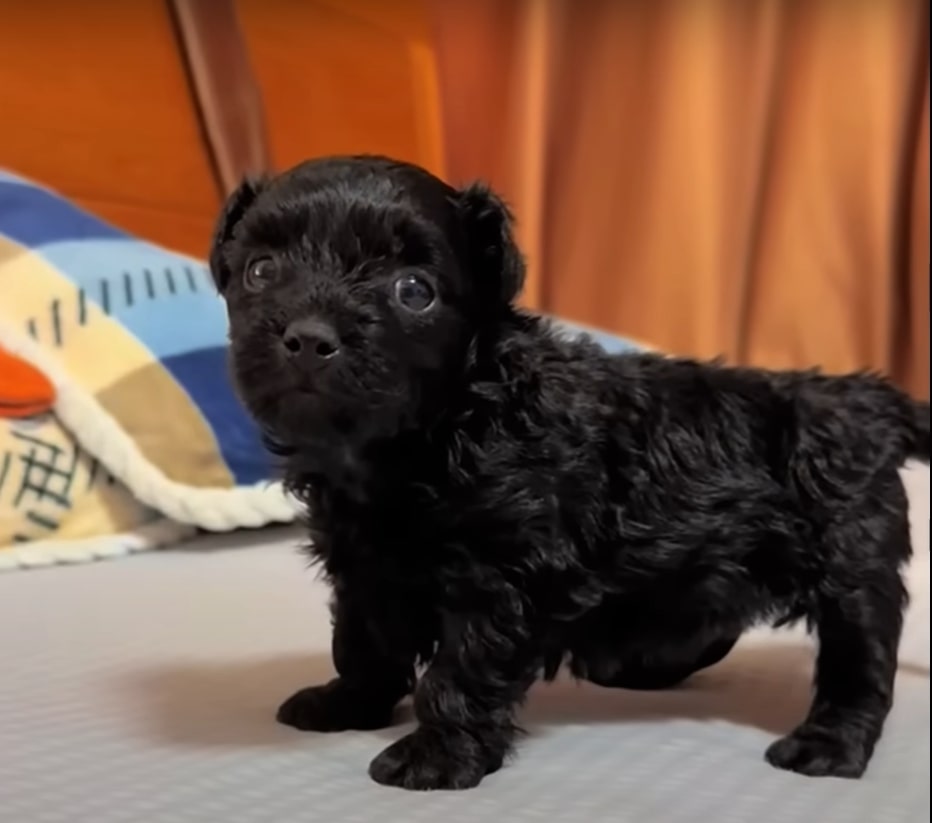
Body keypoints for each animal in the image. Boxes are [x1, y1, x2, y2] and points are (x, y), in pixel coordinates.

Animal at [211, 154, 932, 792]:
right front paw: (345, 704)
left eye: (414, 291)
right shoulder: (364, 565)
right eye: (260, 270)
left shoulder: (501, 575)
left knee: (859, 660)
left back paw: (829, 745)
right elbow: (362, 642)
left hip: (850, 564)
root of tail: (869, 398)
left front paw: (436, 756)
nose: (309, 337)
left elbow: (458, 672)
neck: (432, 430)